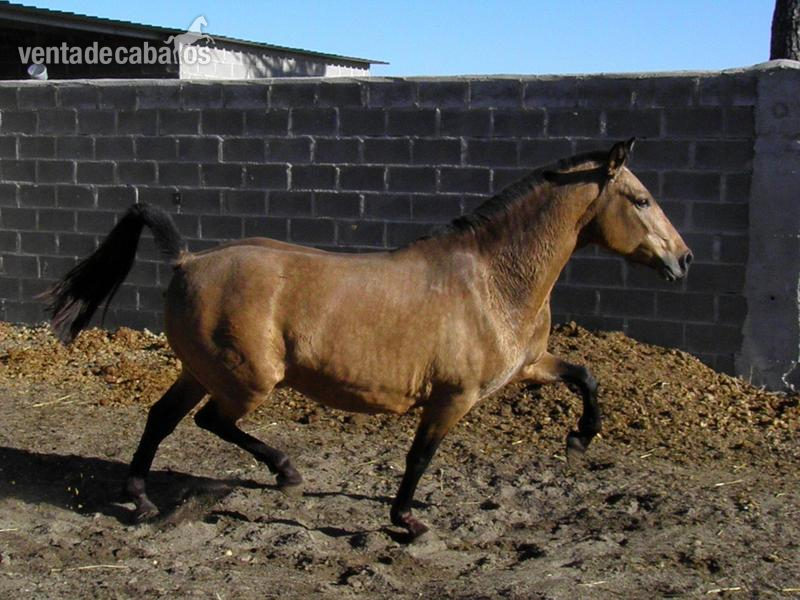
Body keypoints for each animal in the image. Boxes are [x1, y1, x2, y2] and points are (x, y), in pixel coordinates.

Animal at [42, 140, 692, 539]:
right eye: (641, 199)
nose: (683, 260)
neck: (491, 279)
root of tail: (186, 259)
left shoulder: (526, 365)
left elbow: (586, 376)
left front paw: (580, 439)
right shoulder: (453, 396)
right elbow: (420, 455)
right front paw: (406, 521)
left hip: (200, 371)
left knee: (161, 418)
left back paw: (142, 499)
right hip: (246, 380)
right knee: (210, 422)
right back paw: (285, 472)